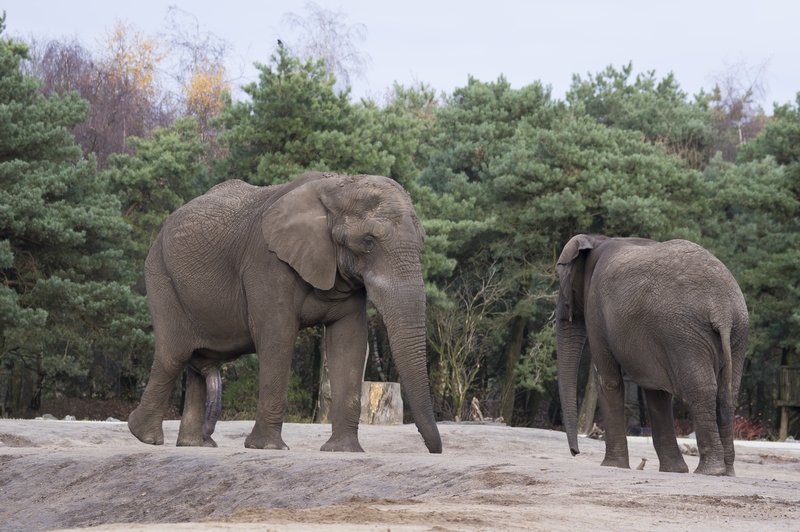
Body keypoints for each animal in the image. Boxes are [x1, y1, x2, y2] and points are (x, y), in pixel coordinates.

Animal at [130, 170, 444, 454]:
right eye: (368, 242)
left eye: (422, 241)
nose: (434, 450)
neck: (336, 187)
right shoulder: (267, 262)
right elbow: (277, 335)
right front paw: (267, 447)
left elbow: (349, 342)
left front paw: (343, 451)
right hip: (159, 275)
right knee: (174, 354)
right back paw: (145, 436)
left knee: (198, 363)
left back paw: (195, 444)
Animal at [556, 235, 752, 476]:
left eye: (562, 281)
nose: (575, 452)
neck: (598, 240)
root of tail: (722, 310)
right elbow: (657, 390)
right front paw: (675, 470)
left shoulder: (596, 309)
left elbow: (608, 381)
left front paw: (612, 466)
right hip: (737, 331)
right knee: (728, 393)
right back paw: (727, 471)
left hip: (683, 332)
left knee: (701, 389)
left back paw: (710, 471)